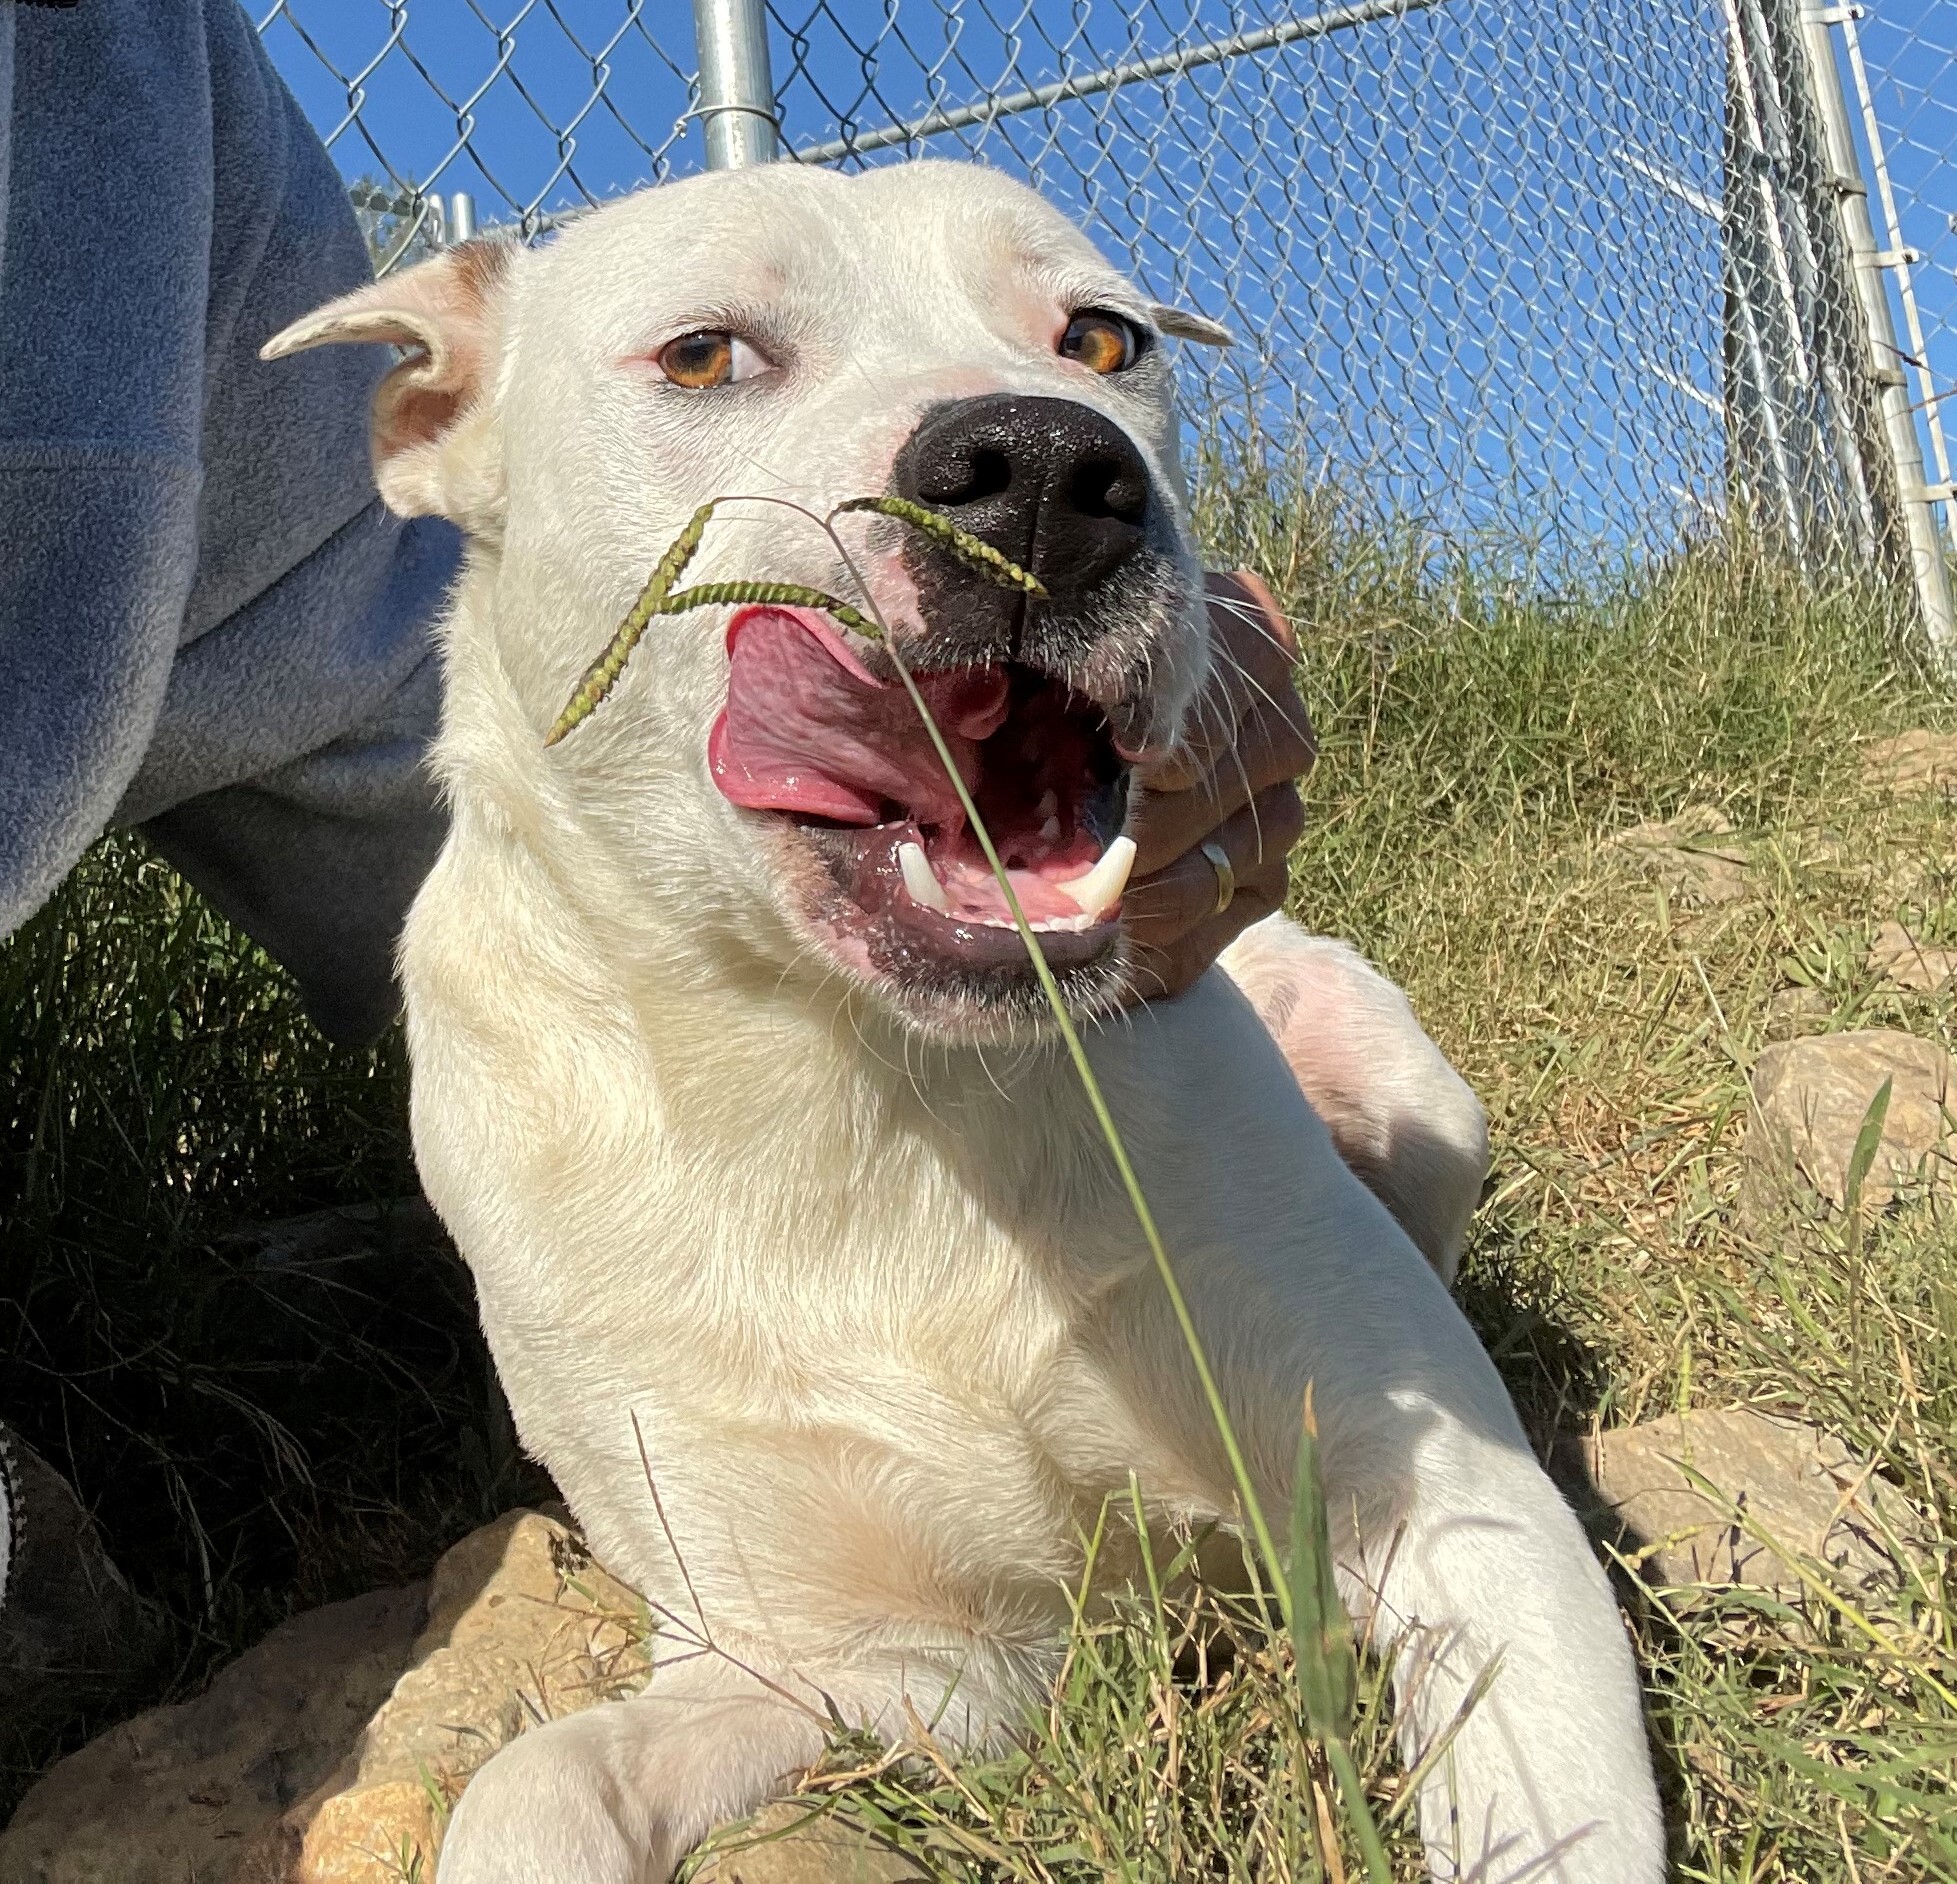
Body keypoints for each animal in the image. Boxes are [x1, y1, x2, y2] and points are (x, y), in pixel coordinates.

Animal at [268, 165, 1659, 1884]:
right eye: (705, 355)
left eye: (1104, 338)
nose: (1049, 470)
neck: (871, 1083)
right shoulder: (863, 1661)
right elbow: (534, 1789)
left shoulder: (1462, 1519)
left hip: (1398, 1076)